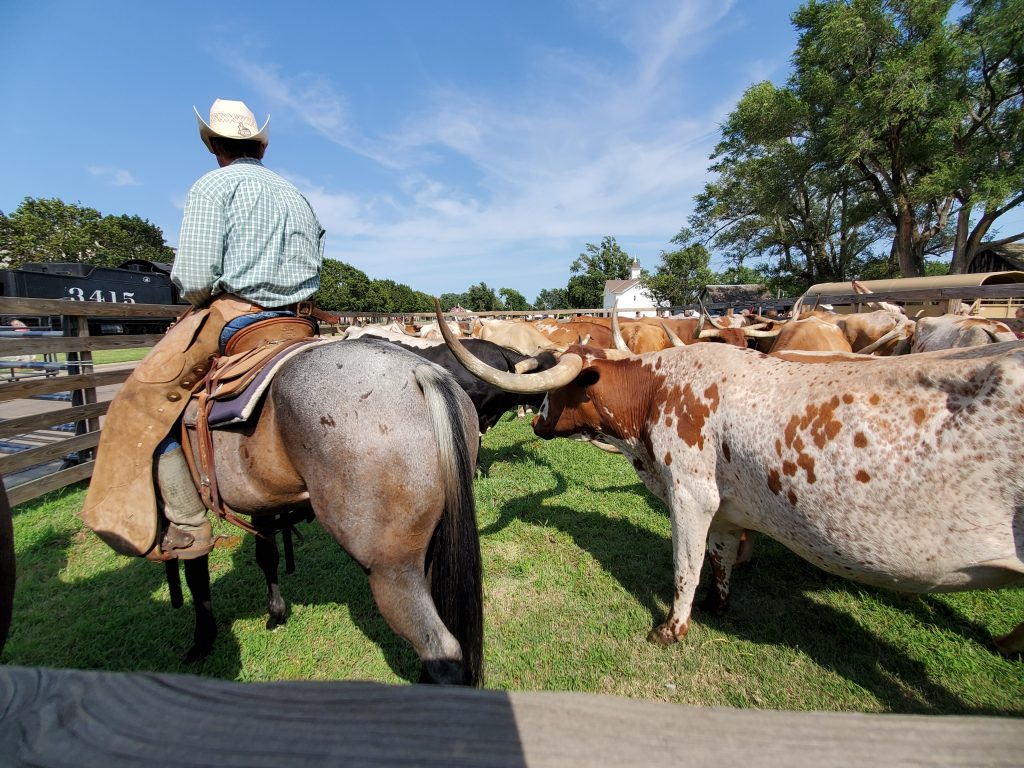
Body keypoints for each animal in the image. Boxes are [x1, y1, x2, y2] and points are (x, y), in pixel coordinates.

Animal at [177, 339, 483, 688]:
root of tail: (419, 370)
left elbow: (196, 573)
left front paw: (202, 640)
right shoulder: (262, 505)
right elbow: (266, 555)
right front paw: (276, 613)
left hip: (391, 572)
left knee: (441, 649)